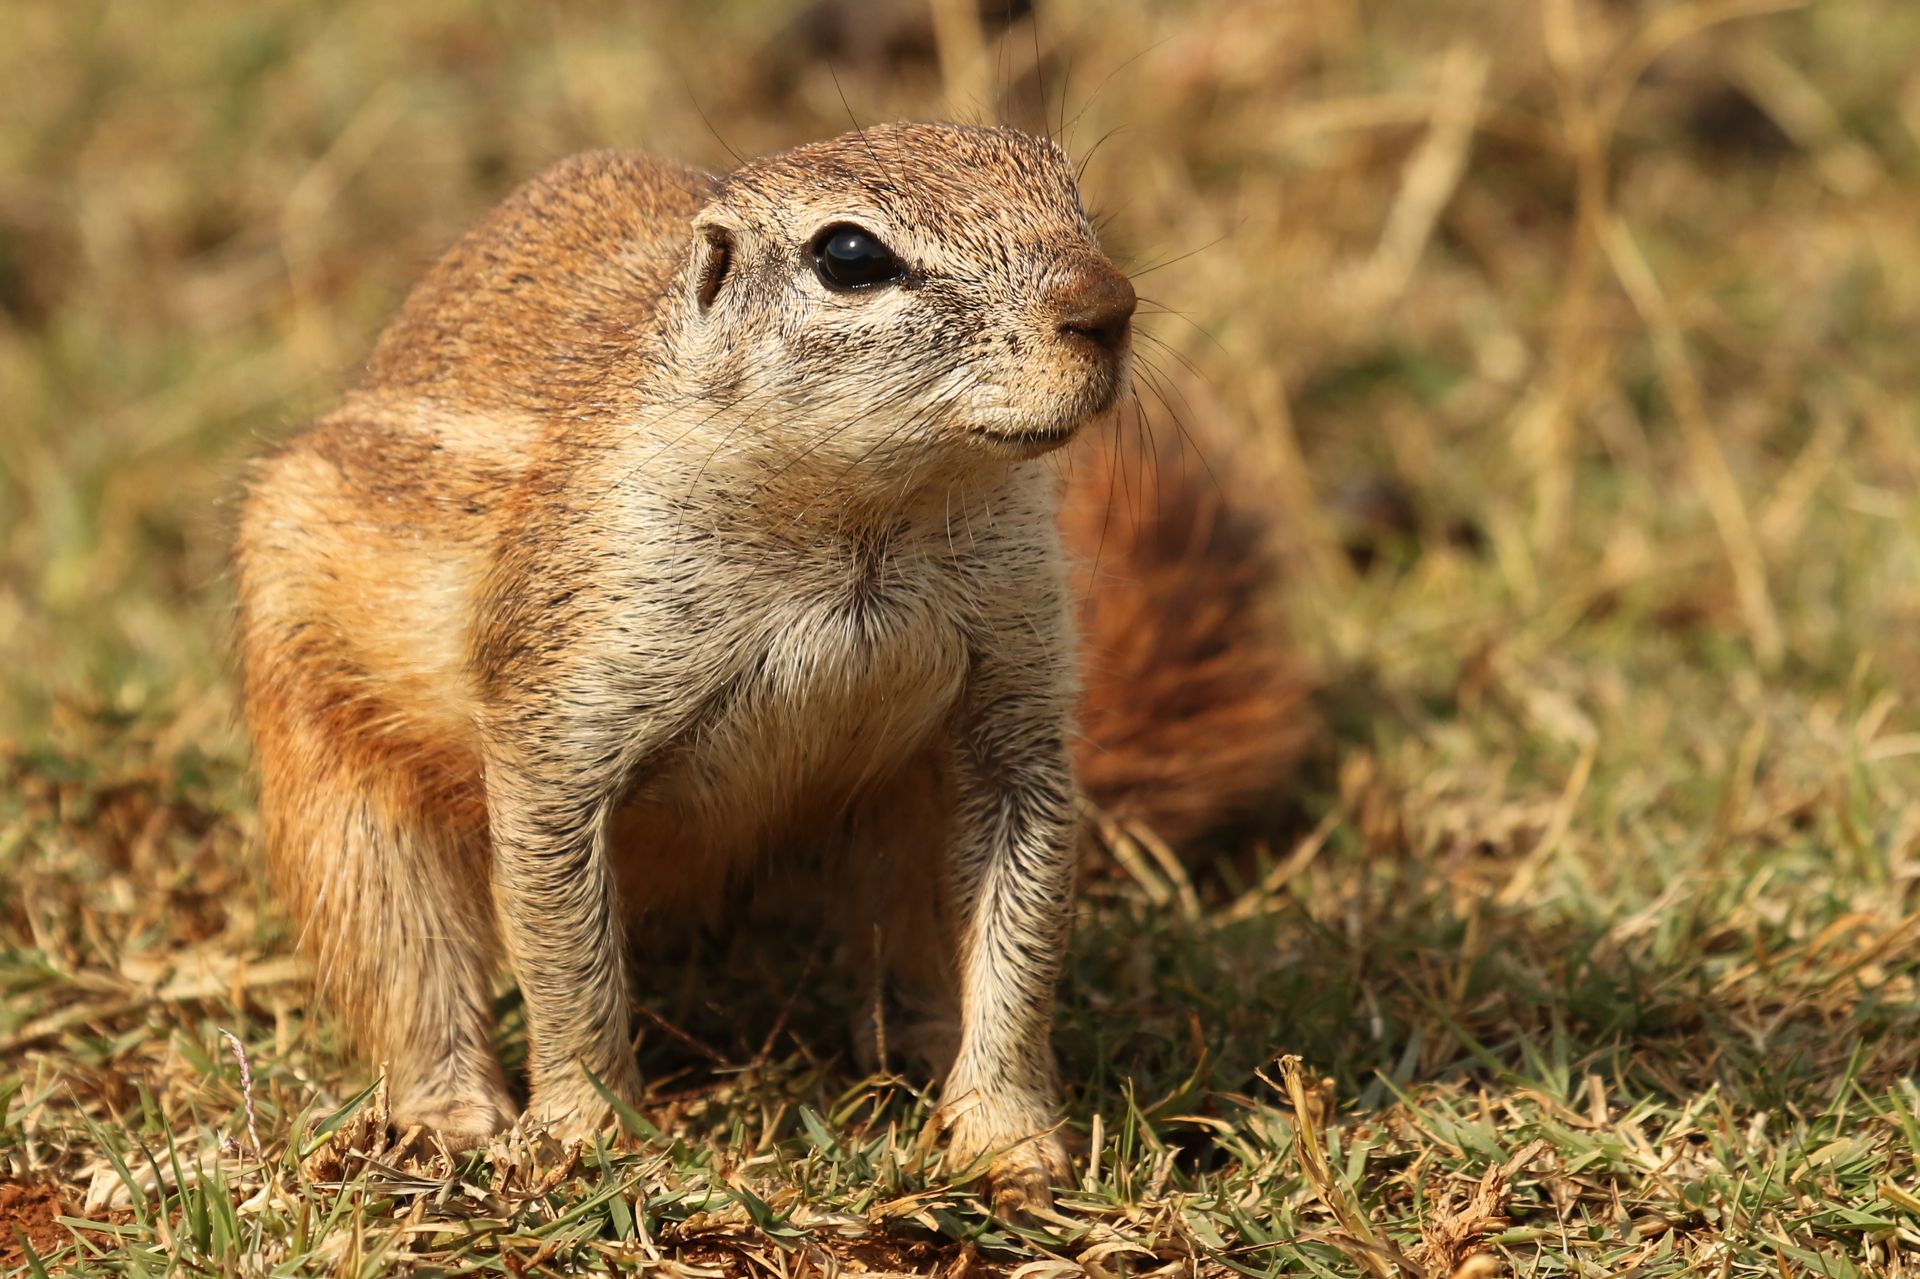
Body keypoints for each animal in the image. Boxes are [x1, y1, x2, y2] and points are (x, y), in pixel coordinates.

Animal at [234, 122, 1306, 1216]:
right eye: (850, 256)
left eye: (1064, 186)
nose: (1108, 306)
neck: (862, 519)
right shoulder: (566, 690)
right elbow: (561, 949)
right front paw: (585, 1136)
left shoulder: (1018, 687)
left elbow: (1026, 932)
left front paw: (1009, 1140)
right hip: (337, 787)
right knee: (403, 958)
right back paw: (445, 1117)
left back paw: (920, 1047)